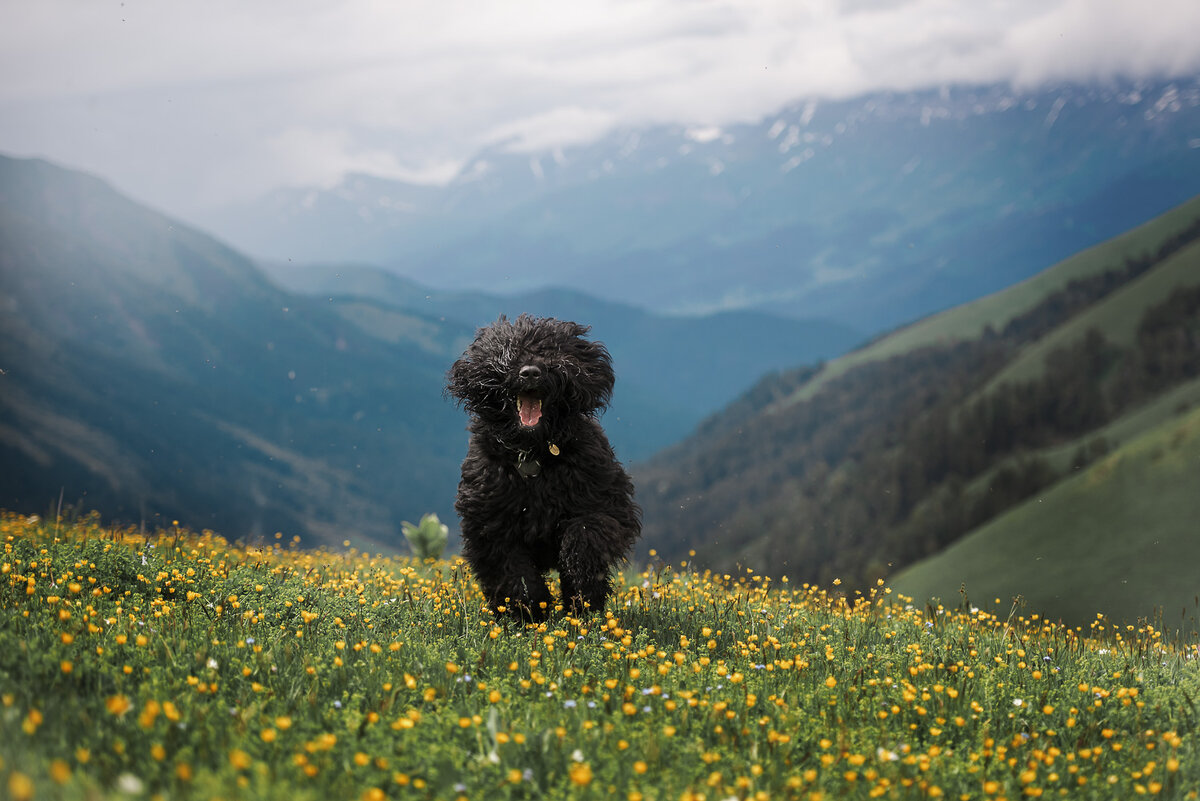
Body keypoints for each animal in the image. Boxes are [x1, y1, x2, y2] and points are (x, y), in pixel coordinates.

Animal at [448, 311, 638, 618]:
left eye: (552, 350)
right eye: (509, 350)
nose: (530, 372)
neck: (532, 453)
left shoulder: (605, 507)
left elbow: (584, 535)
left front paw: (580, 583)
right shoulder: (492, 528)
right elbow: (516, 576)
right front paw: (531, 611)